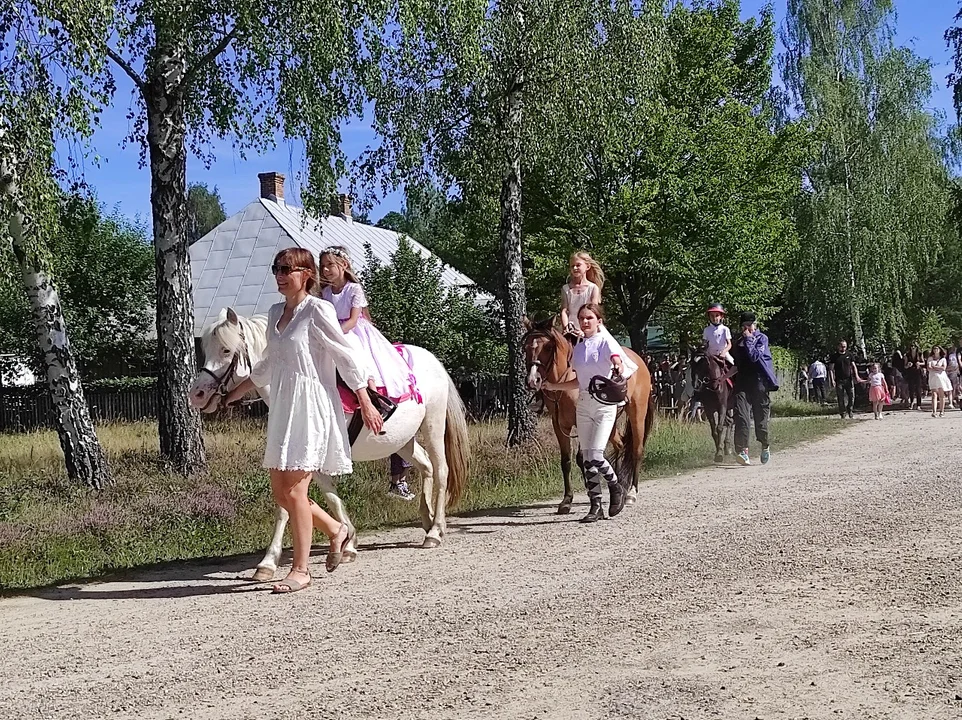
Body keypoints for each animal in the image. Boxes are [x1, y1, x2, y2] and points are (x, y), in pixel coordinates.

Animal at [188, 306, 468, 584]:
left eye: (226, 350)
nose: (197, 394)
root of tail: (432, 360)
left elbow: (300, 503)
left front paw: (271, 561)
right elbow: (323, 499)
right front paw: (346, 543)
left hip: (432, 425)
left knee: (441, 470)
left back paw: (434, 531)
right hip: (401, 440)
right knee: (426, 466)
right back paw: (429, 521)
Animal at [520, 320, 656, 512]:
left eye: (548, 347)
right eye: (526, 347)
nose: (533, 381)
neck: (565, 385)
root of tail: (641, 362)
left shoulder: (582, 422)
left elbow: (582, 457)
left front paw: (590, 491)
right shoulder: (559, 425)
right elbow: (566, 461)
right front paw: (567, 500)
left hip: (637, 413)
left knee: (637, 450)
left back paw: (631, 493)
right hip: (611, 421)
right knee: (620, 445)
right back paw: (619, 485)